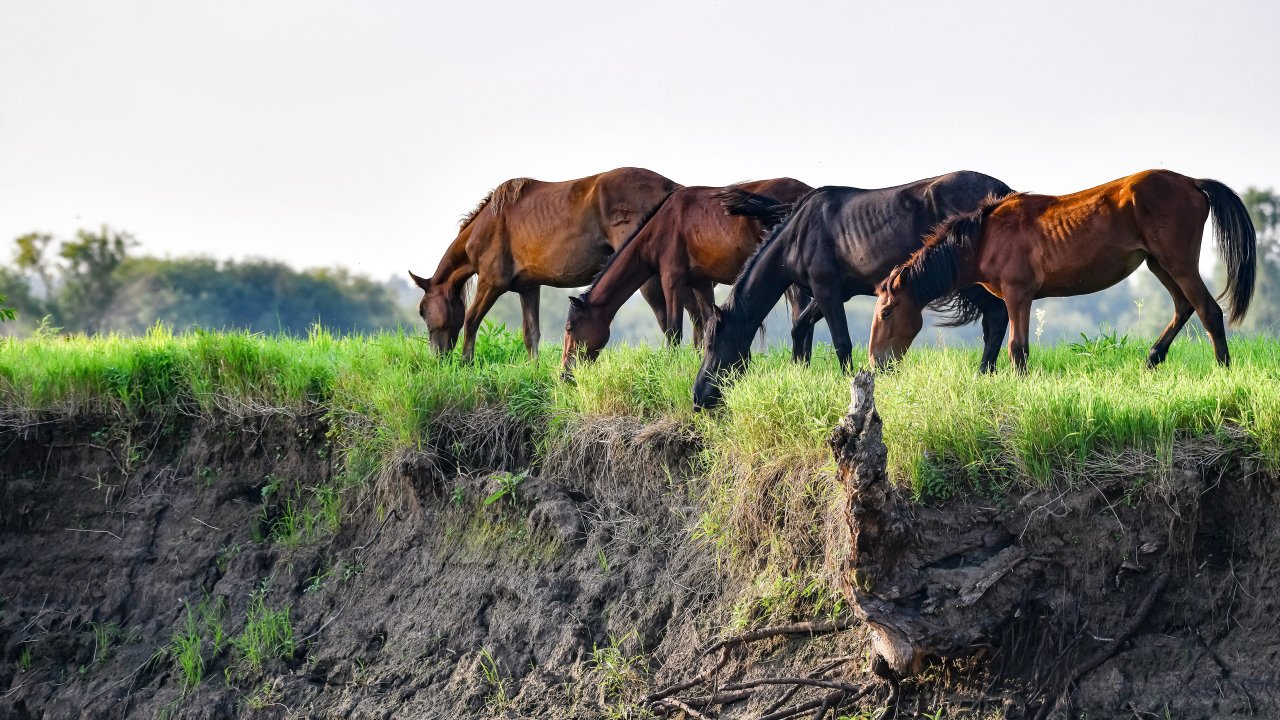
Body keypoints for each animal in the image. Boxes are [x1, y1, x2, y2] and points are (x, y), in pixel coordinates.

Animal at [409, 166, 691, 361]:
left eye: (422, 310)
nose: (437, 358)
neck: (487, 224)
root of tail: (671, 187)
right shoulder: (528, 288)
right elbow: (531, 334)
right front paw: (534, 371)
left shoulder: (491, 283)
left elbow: (471, 321)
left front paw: (466, 364)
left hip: (650, 277)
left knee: (668, 319)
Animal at [563, 176, 819, 371]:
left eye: (570, 329)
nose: (565, 373)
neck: (659, 227)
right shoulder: (701, 283)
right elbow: (707, 323)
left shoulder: (672, 280)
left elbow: (674, 330)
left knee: (800, 313)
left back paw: (799, 365)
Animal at [696, 167, 1013, 409]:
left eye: (712, 345)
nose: (698, 397)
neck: (797, 235)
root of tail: (1003, 192)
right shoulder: (829, 293)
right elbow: (800, 328)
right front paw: (799, 373)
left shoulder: (827, 292)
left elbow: (841, 342)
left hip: (971, 283)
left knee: (997, 317)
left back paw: (984, 374)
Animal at [865, 167, 1254, 368]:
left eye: (886, 313)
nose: (875, 362)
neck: (985, 237)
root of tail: (1192, 182)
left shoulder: (1018, 294)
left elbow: (1017, 348)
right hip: (1159, 264)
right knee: (1184, 306)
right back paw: (1152, 359)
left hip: (1179, 263)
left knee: (1209, 311)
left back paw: (1222, 368)